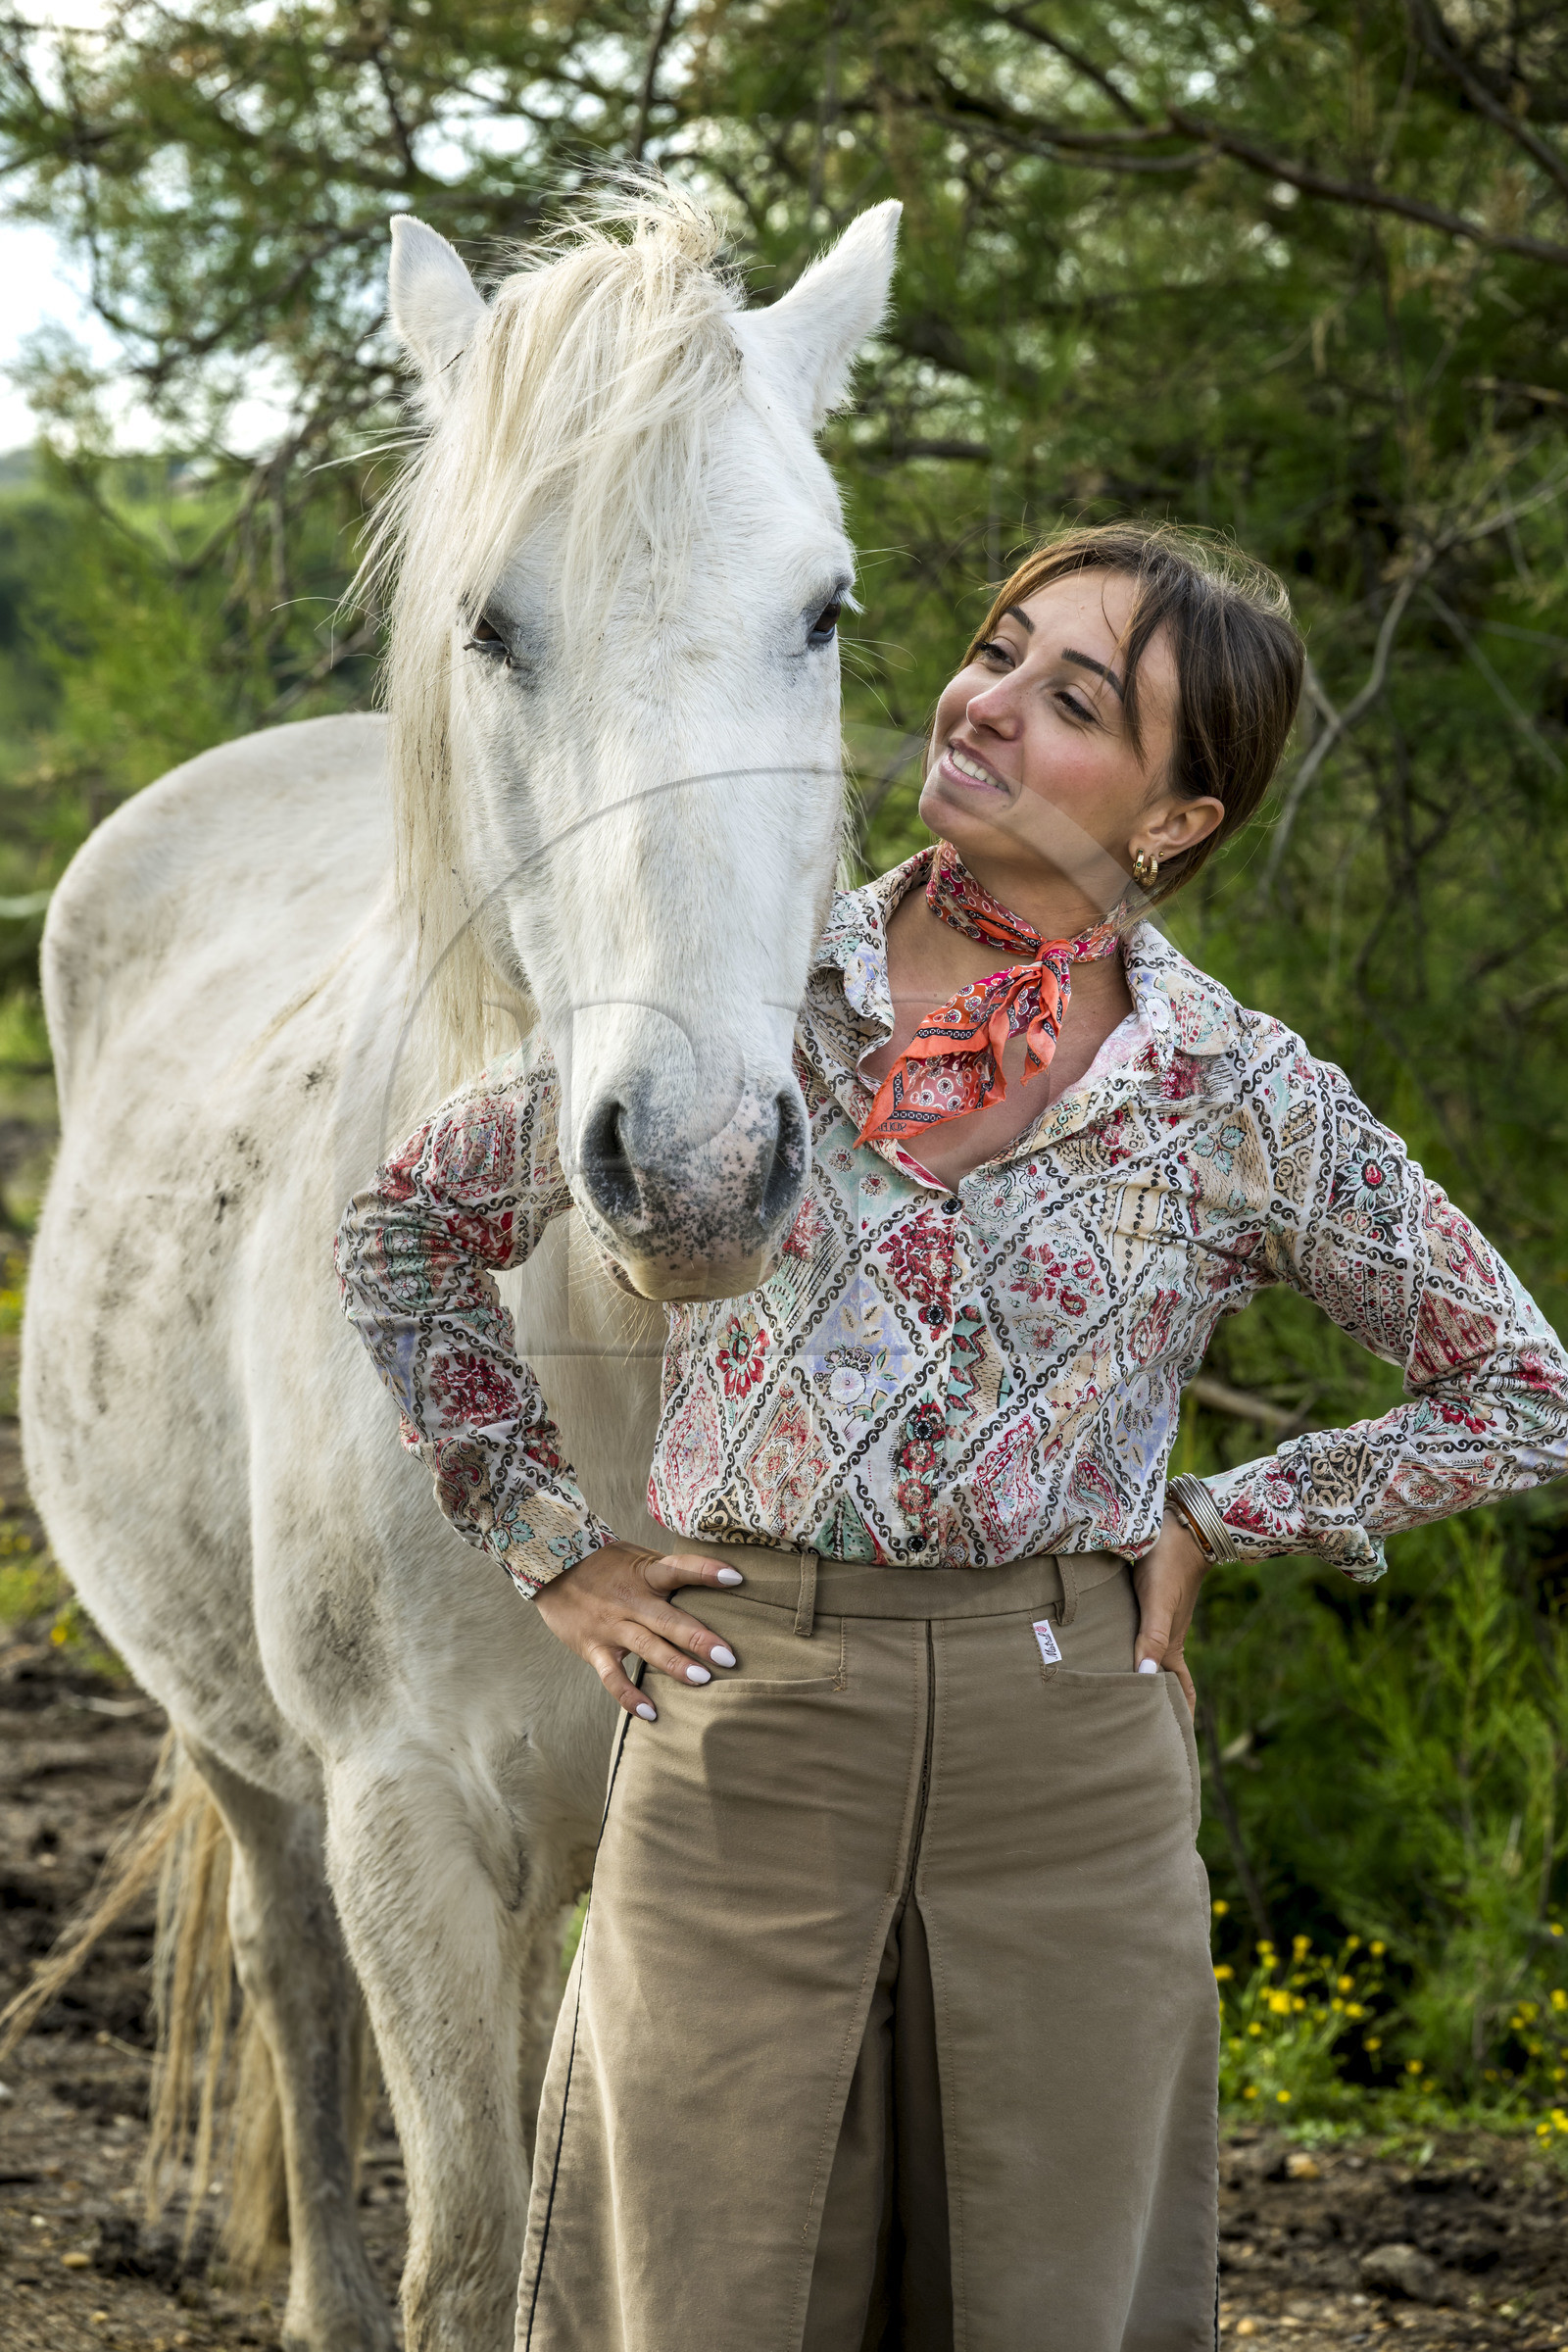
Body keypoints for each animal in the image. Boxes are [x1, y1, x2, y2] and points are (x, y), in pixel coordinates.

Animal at [16, 181, 900, 2352]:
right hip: (242, 1750)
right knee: (289, 1979)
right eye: (491, 624)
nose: (697, 1172)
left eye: (825, 610)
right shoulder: (404, 1813)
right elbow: (469, 2247)